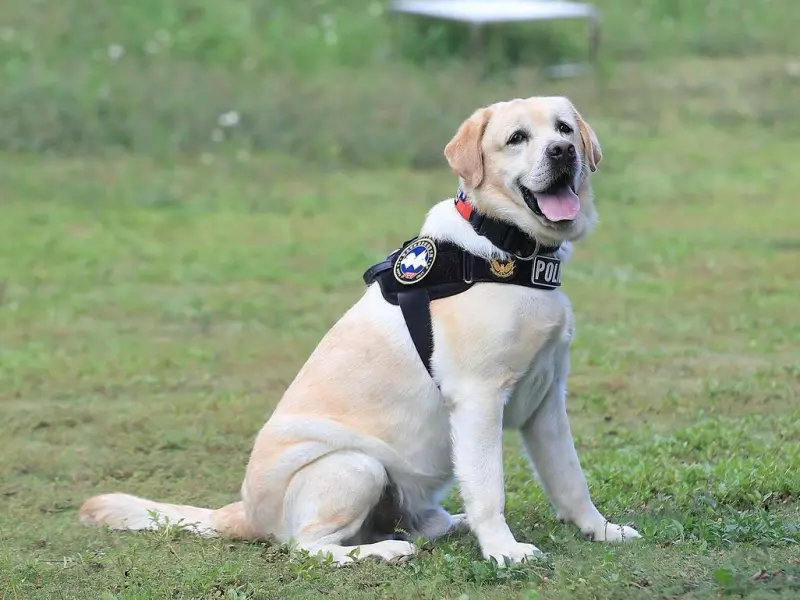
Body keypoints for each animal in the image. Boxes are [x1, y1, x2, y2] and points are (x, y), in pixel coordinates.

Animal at [81, 95, 640, 568]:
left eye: (563, 128)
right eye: (517, 138)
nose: (563, 152)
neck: (506, 250)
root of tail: (242, 513)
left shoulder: (547, 400)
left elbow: (570, 478)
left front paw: (600, 530)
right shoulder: (478, 399)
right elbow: (489, 488)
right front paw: (504, 550)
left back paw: (443, 526)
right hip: (357, 466)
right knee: (308, 547)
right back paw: (383, 552)